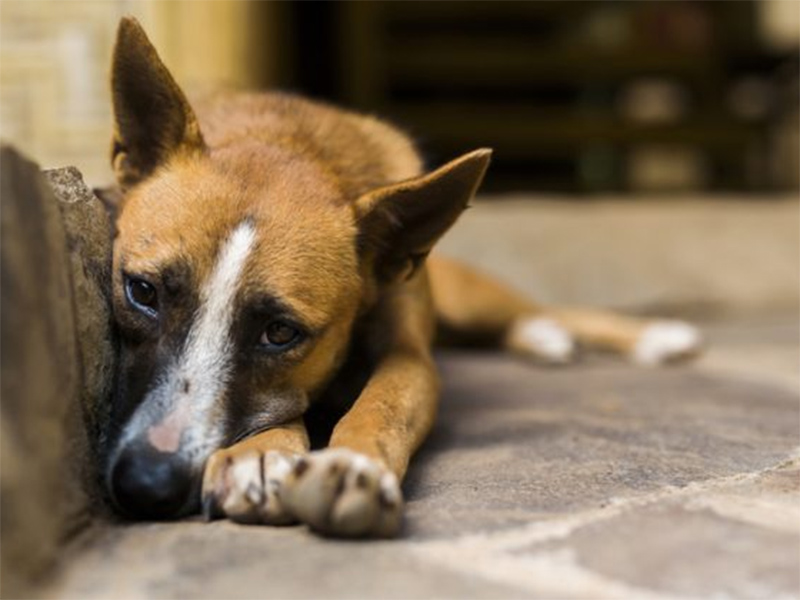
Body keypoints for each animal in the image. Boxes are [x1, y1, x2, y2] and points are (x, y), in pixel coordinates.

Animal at [106, 17, 700, 540]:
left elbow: (383, 404)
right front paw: (264, 452)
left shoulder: (411, 358)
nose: (146, 484)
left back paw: (641, 336)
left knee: (547, 309)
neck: (292, 143)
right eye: (143, 292)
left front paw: (351, 467)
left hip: (470, 298)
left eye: (280, 332)